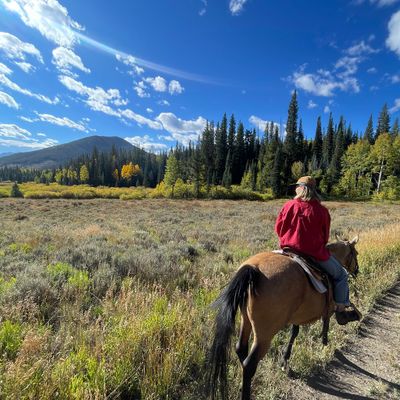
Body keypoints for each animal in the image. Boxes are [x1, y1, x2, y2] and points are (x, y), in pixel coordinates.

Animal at [207, 236, 360, 400]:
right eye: (355, 253)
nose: (357, 270)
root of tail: (253, 269)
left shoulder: (297, 315)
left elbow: (294, 332)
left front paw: (285, 361)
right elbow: (322, 323)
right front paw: (326, 339)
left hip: (245, 320)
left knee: (240, 349)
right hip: (264, 335)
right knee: (249, 364)